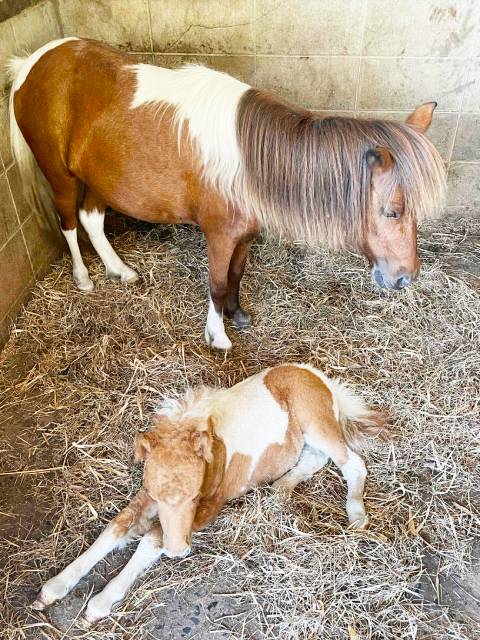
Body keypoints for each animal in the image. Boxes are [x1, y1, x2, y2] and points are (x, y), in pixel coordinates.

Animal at [8, 38, 446, 350]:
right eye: (391, 211)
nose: (405, 278)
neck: (252, 162)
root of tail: (32, 62)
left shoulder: (244, 235)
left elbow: (236, 274)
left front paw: (237, 314)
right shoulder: (219, 235)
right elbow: (217, 283)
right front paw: (217, 336)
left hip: (99, 178)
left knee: (91, 219)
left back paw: (121, 271)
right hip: (60, 175)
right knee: (68, 221)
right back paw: (84, 278)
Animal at [31, 364, 390, 624]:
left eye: (193, 496)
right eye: (159, 495)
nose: (179, 551)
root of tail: (320, 377)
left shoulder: (211, 505)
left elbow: (151, 539)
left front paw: (100, 603)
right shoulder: (148, 494)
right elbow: (118, 526)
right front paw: (54, 587)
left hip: (316, 423)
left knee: (352, 462)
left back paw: (357, 515)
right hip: (306, 437)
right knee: (315, 458)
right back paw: (280, 489)